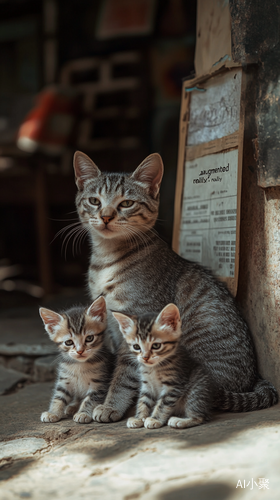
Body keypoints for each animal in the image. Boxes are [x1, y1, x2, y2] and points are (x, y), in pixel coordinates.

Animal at [38, 294, 114, 424]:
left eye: (89, 338)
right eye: (68, 342)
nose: (80, 351)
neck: (79, 365)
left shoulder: (99, 383)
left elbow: (90, 399)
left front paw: (83, 413)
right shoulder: (65, 379)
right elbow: (59, 396)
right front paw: (53, 412)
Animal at [72, 149, 278, 422]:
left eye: (126, 203)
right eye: (95, 201)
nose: (105, 216)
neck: (106, 259)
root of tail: (253, 378)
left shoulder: (137, 325)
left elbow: (124, 373)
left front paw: (111, 405)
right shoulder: (116, 330)